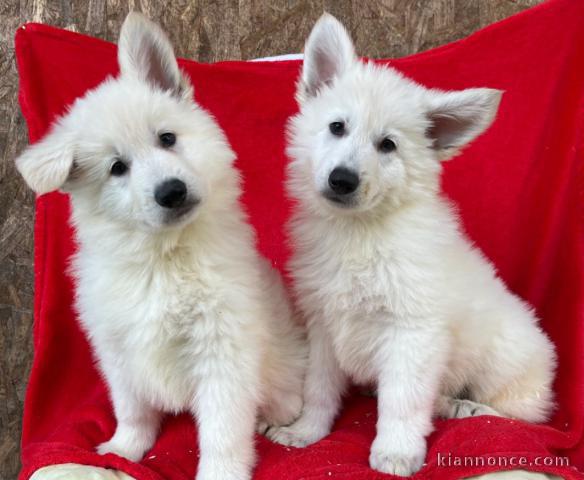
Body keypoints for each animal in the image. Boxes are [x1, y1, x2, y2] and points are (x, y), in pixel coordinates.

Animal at [15, 13, 306, 480]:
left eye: (167, 138)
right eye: (117, 168)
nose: (172, 191)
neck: (164, 256)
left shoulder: (223, 351)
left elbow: (222, 431)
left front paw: (220, 473)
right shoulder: (118, 351)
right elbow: (132, 411)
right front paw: (122, 450)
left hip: (284, 359)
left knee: (286, 390)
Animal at [266, 13, 556, 478]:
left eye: (388, 145)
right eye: (337, 127)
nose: (342, 180)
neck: (360, 231)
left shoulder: (413, 332)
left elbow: (402, 401)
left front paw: (396, 453)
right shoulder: (324, 325)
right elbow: (319, 388)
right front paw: (305, 432)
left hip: (504, 362)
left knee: (522, 415)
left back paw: (464, 408)